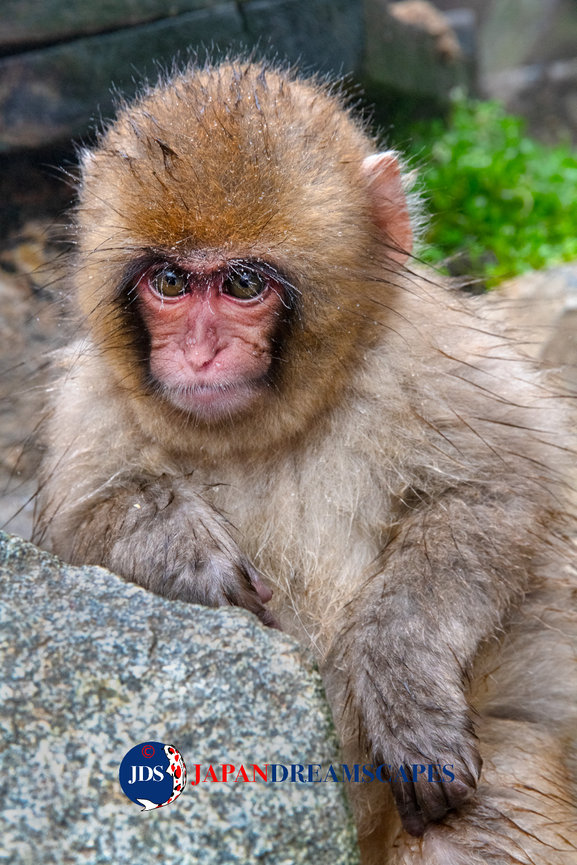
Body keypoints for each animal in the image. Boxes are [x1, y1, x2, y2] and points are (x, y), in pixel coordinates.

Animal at [32, 60, 577, 864]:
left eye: (241, 284)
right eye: (170, 282)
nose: (198, 353)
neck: (260, 432)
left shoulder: (432, 351)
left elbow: (500, 490)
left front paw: (397, 670)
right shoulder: (89, 407)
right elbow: (76, 527)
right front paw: (182, 548)